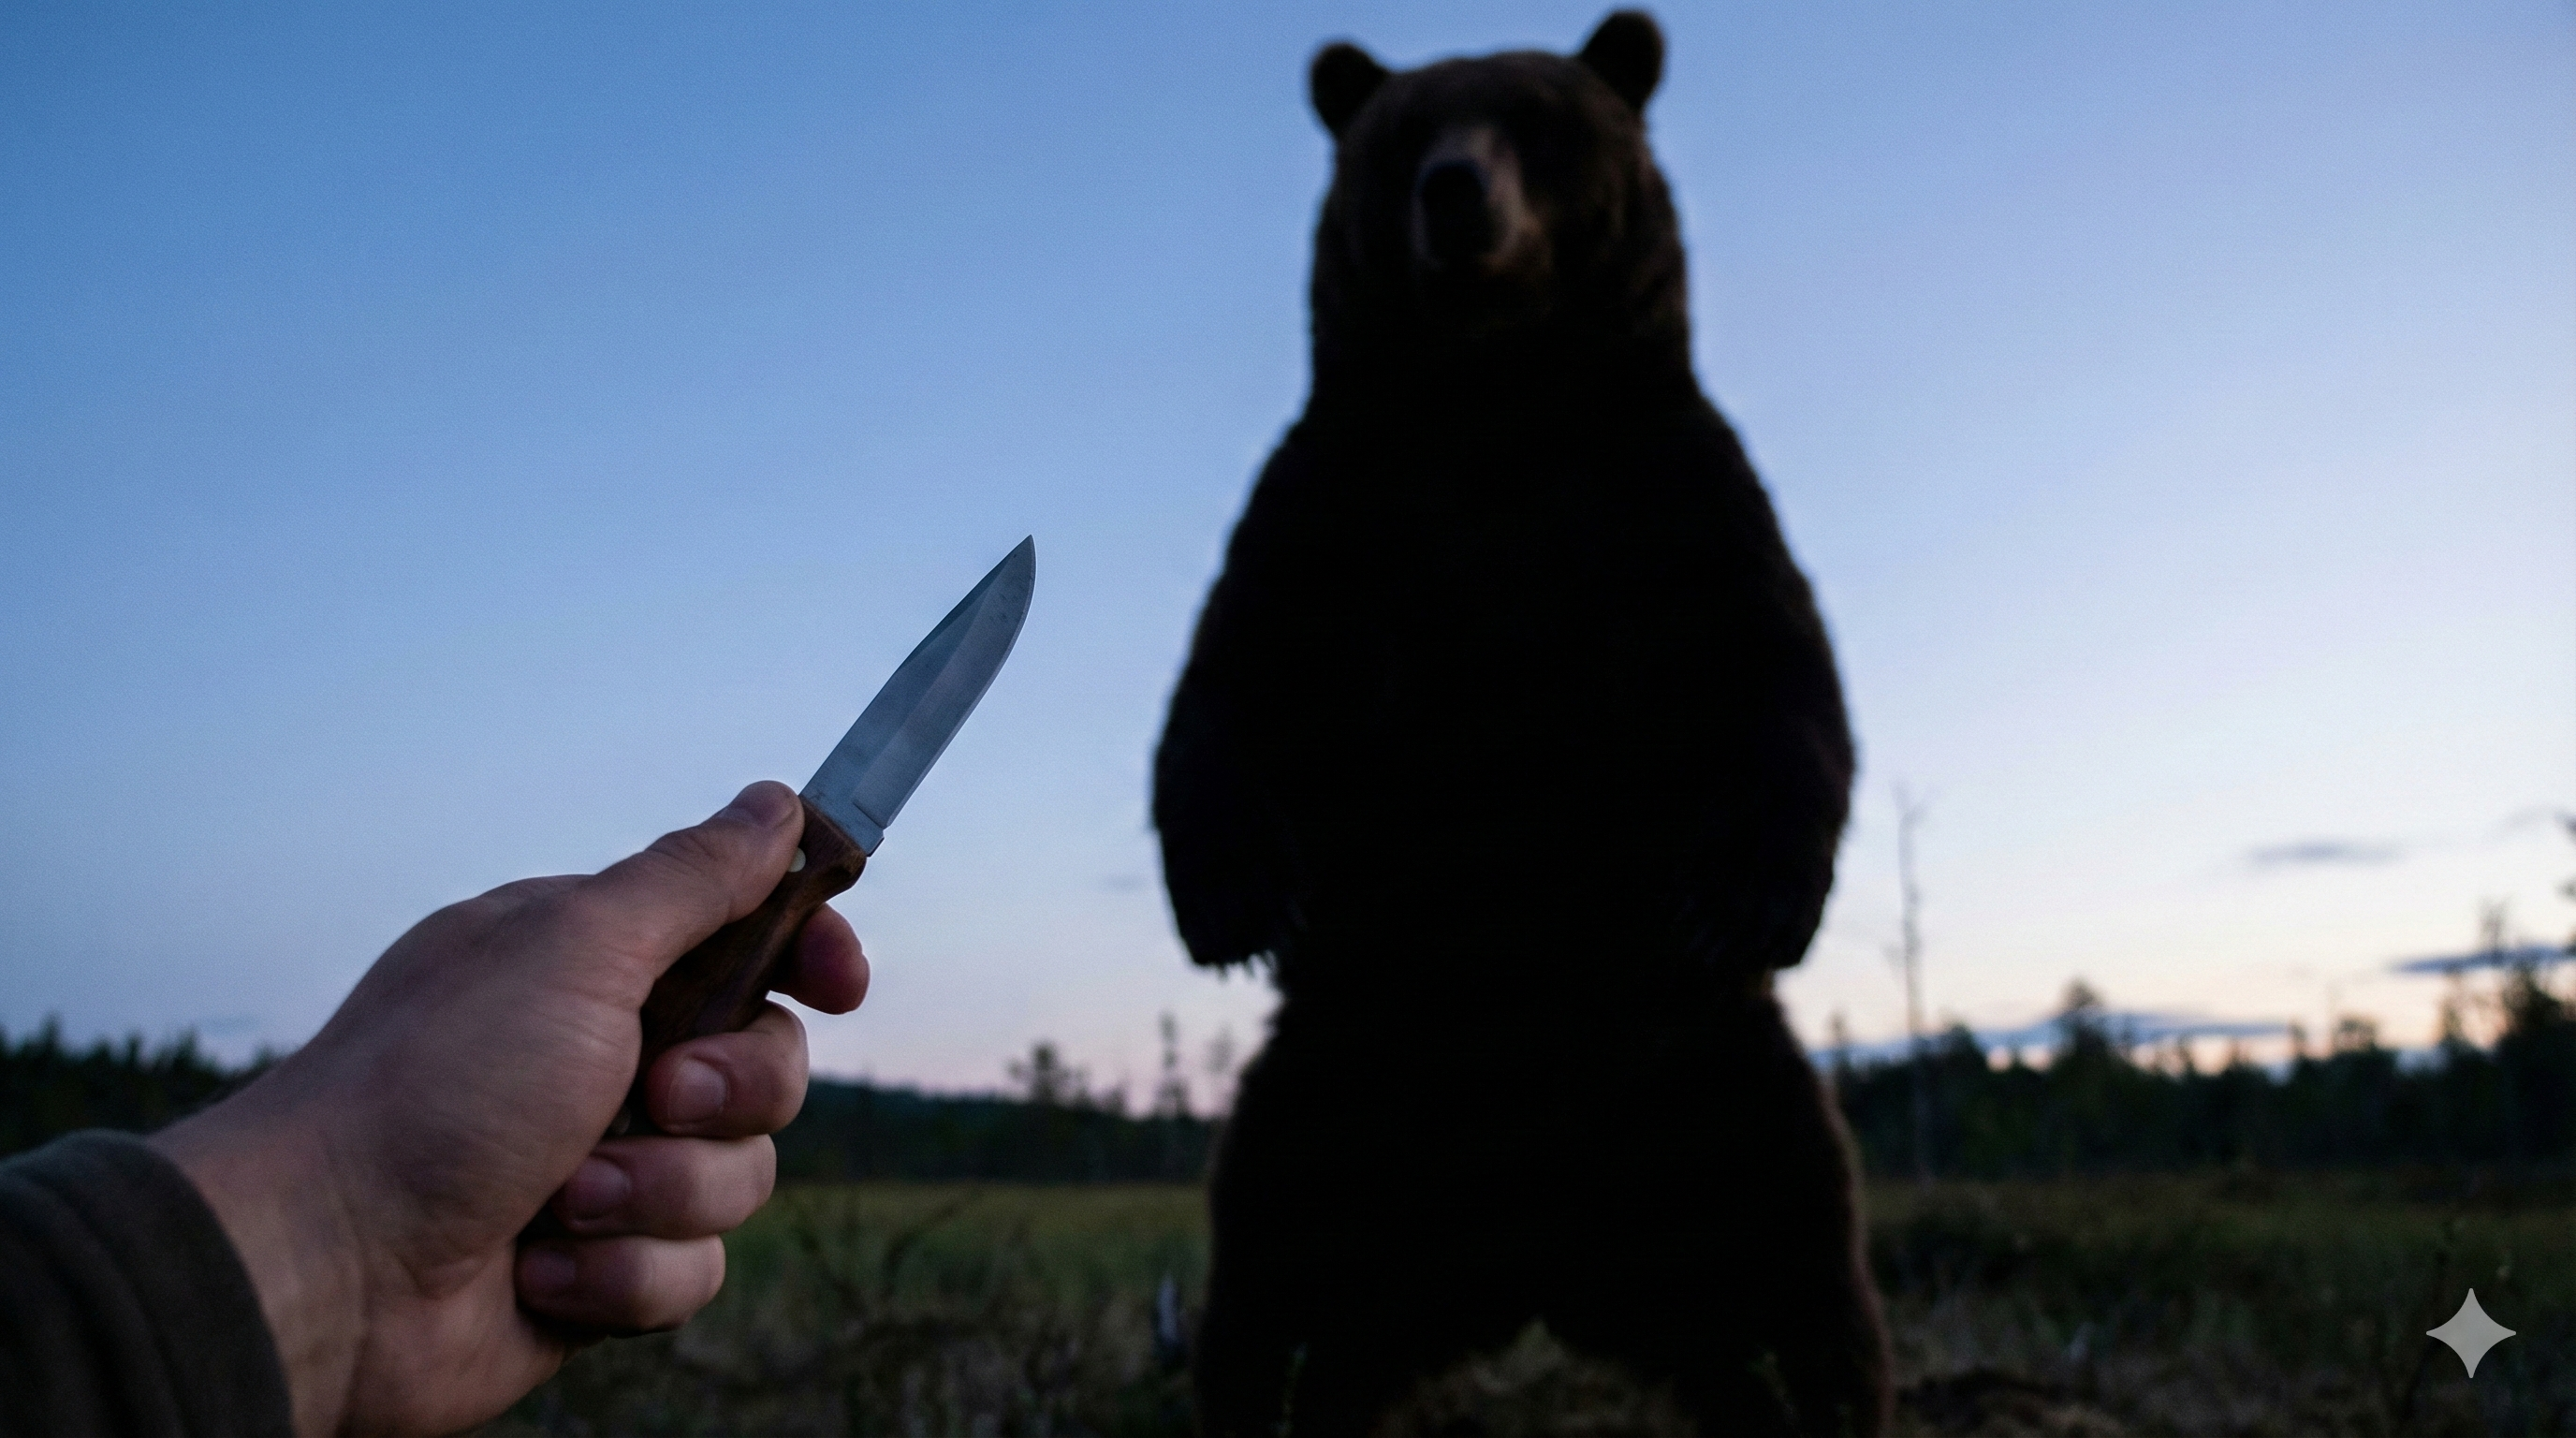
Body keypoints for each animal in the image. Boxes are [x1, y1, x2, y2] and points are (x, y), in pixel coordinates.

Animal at [1152, 12, 1891, 1437]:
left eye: (1536, 122)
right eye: (1406, 135)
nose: (1456, 194)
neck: (1497, 406)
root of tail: (1539, 1260)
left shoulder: (1670, 491)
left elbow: (1783, 674)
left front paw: (1750, 896)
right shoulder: (1331, 508)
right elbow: (1226, 679)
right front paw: (1232, 898)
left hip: (1725, 1098)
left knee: (1812, 1285)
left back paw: (1825, 1395)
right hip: (1332, 1112)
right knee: (1264, 1289)